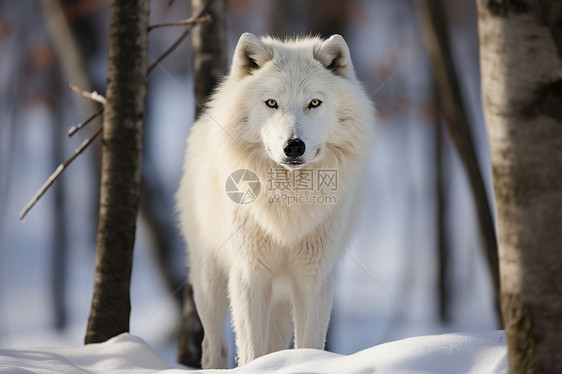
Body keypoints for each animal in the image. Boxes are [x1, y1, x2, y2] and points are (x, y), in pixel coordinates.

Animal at [176, 32, 372, 368]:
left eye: (314, 103)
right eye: (271, 103)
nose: (293, 146)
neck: (288, 199)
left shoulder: (314, 279)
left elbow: (309, 345)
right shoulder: (249, 275)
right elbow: (251, 350)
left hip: (280, 296)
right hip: (209, 283)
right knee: (214, 346)